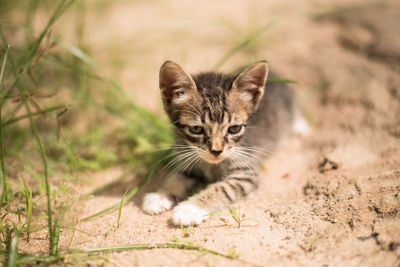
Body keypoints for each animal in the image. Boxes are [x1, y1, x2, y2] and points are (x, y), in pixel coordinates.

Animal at [141, 60, 304, 226]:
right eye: (196, 129)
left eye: (234, 129)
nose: (216, 151)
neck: (210, 165)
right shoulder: (186, 158)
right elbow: (175, 177)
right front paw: (160, 196)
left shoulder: (245, 173)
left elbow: (223, 188)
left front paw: (190, 208)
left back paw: (300, 126)